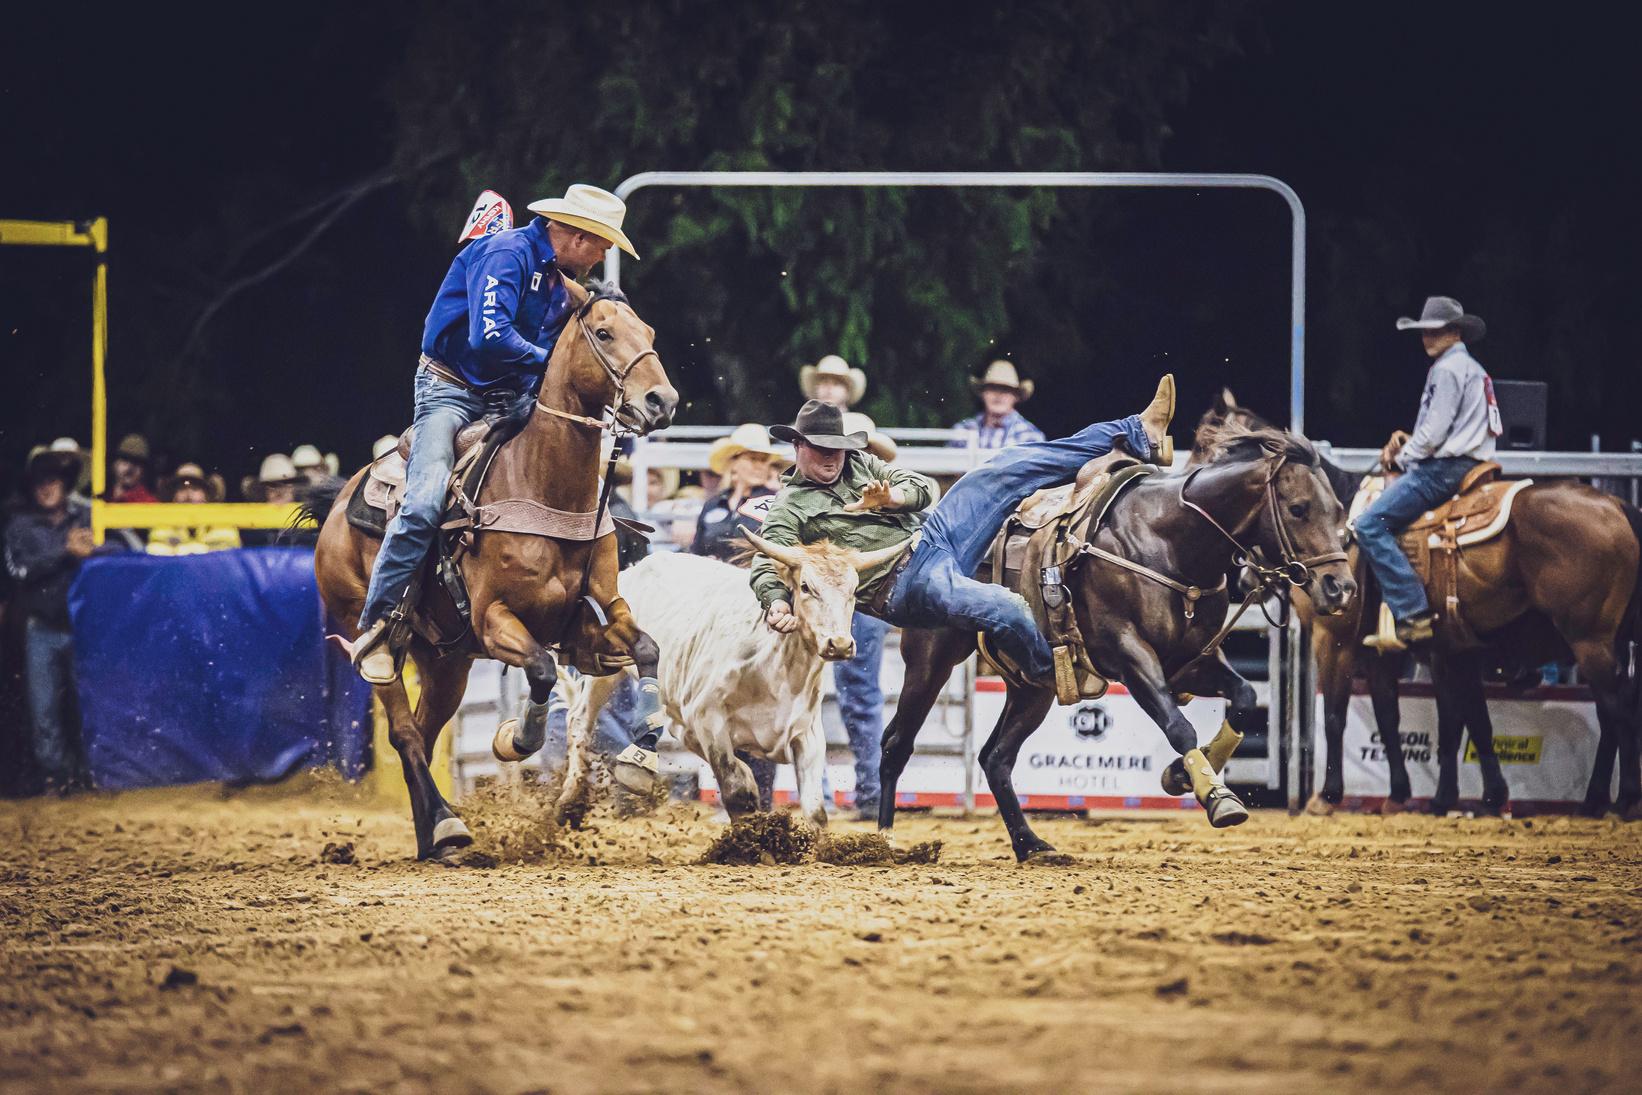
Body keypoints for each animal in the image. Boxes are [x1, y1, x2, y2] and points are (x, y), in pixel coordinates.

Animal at [305, 280, 679, 861]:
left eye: (650, 332)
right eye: (603, 332)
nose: (663, 401)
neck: (543, 483)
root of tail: (340, 502)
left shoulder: (591, 617)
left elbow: (646, 649)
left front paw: (639, 759)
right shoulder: (494, 620)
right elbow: (541, 670)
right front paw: (517, 738)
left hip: (448, 662)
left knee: (424, 733)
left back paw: (432, 835)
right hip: (369, 633)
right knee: (404, 730)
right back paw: (445, 825)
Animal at [560, 533, 904, 825]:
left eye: (853, 590)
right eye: (807, 587)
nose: (840, 644)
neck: (777, 669)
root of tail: (637, 568)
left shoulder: (807, 732)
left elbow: (814, 809)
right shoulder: (707, 719)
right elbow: (738, 788)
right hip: (606, 664)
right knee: (580, 721)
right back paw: (569, 802)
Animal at [878, 424, 1357, 861]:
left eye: (1337, 511)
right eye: (1298, 509)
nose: (1341, 588)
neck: (1168, 541)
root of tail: (919, 543)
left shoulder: (1191, 660)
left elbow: (1243, 696)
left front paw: (1183, 775)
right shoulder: (1130, 655)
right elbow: (1178, 725)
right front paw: (1218, 798)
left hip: (1034, 684)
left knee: (996, 758)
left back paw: (1031, 845)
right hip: (931, 657)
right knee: (897, 743)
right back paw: (882, 841)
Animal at [1199, 390, 1642, 819]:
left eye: (1206, 451)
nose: (1244, 577)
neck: (1341, 527)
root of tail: (1615, 506)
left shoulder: (1335, 639)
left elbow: (1337, 714)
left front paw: (1326, 797)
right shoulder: (1399, 652)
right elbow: (1406, 716)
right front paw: (1413, 795)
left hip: (1588, 639)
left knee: (1618, 707)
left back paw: (1623, 800)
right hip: (1607, 641)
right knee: (1610, 712)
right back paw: (1595, 800)